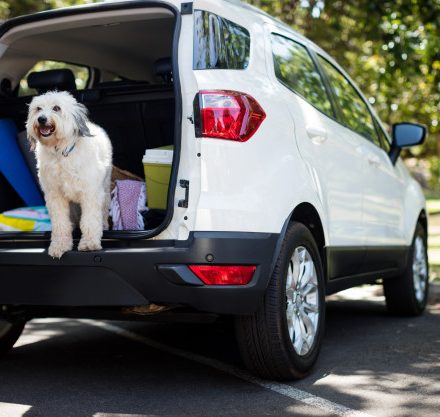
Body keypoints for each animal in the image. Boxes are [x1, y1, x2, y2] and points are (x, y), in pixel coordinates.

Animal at [25, 91, 112, 256]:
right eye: (38, 109)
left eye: (56, 108)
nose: (41, 119)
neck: (60, 153)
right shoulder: (55, 196)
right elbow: (60, 223)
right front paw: (60, 245)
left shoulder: (90, 193)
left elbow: (90, 220)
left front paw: (89, 243)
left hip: (104, 188)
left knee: (103, 210)